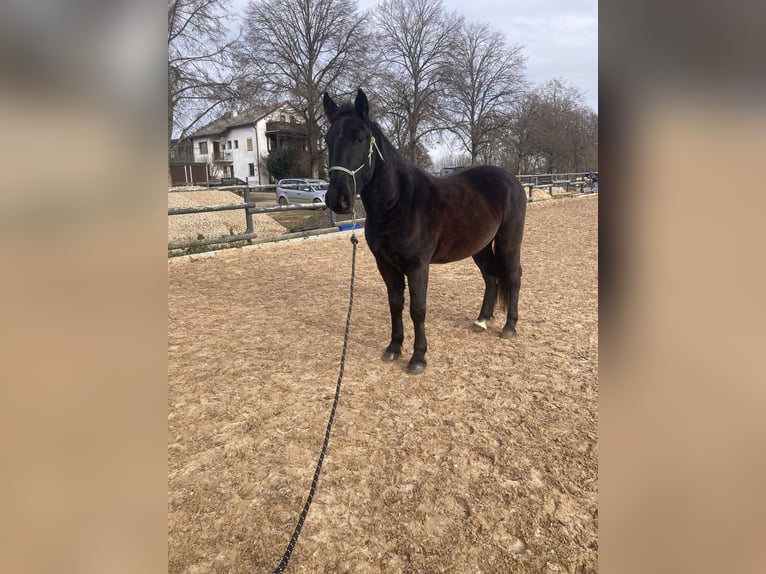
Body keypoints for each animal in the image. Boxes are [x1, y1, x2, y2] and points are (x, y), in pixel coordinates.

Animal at [323, 89, 526, 374]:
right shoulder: (386, 265)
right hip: (480, 246)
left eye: (360, 139)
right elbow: (395, 304)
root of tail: (512, 180)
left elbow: (417, 309)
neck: (398, 202)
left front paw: (418, 358)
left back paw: (509, 326)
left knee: (513, 275)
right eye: (328, 140)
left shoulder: (417, 265)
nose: (337, 198)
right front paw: (394, 347)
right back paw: (482, 320)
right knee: (491, 276)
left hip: (509, 241)